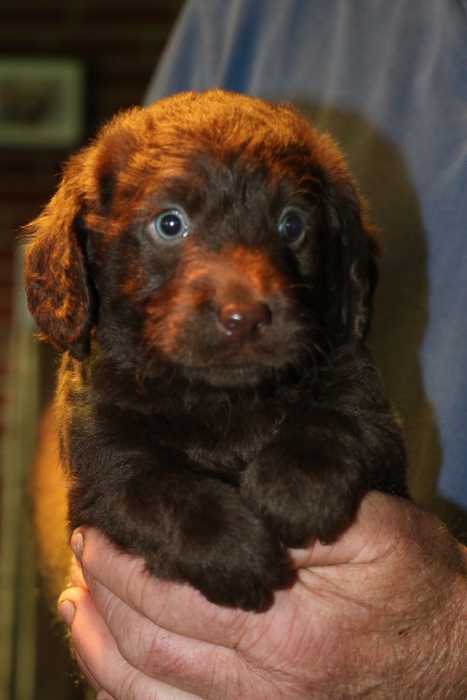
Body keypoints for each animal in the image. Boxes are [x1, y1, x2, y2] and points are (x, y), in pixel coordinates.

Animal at [24, 90, 407, 612]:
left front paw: (294, 488)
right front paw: (234, 552)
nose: (245, 317)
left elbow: (336, 420)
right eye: (170, 224)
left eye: (292, 225)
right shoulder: (100, 477)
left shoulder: (375, 416)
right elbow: (160, 492)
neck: (222, 400)